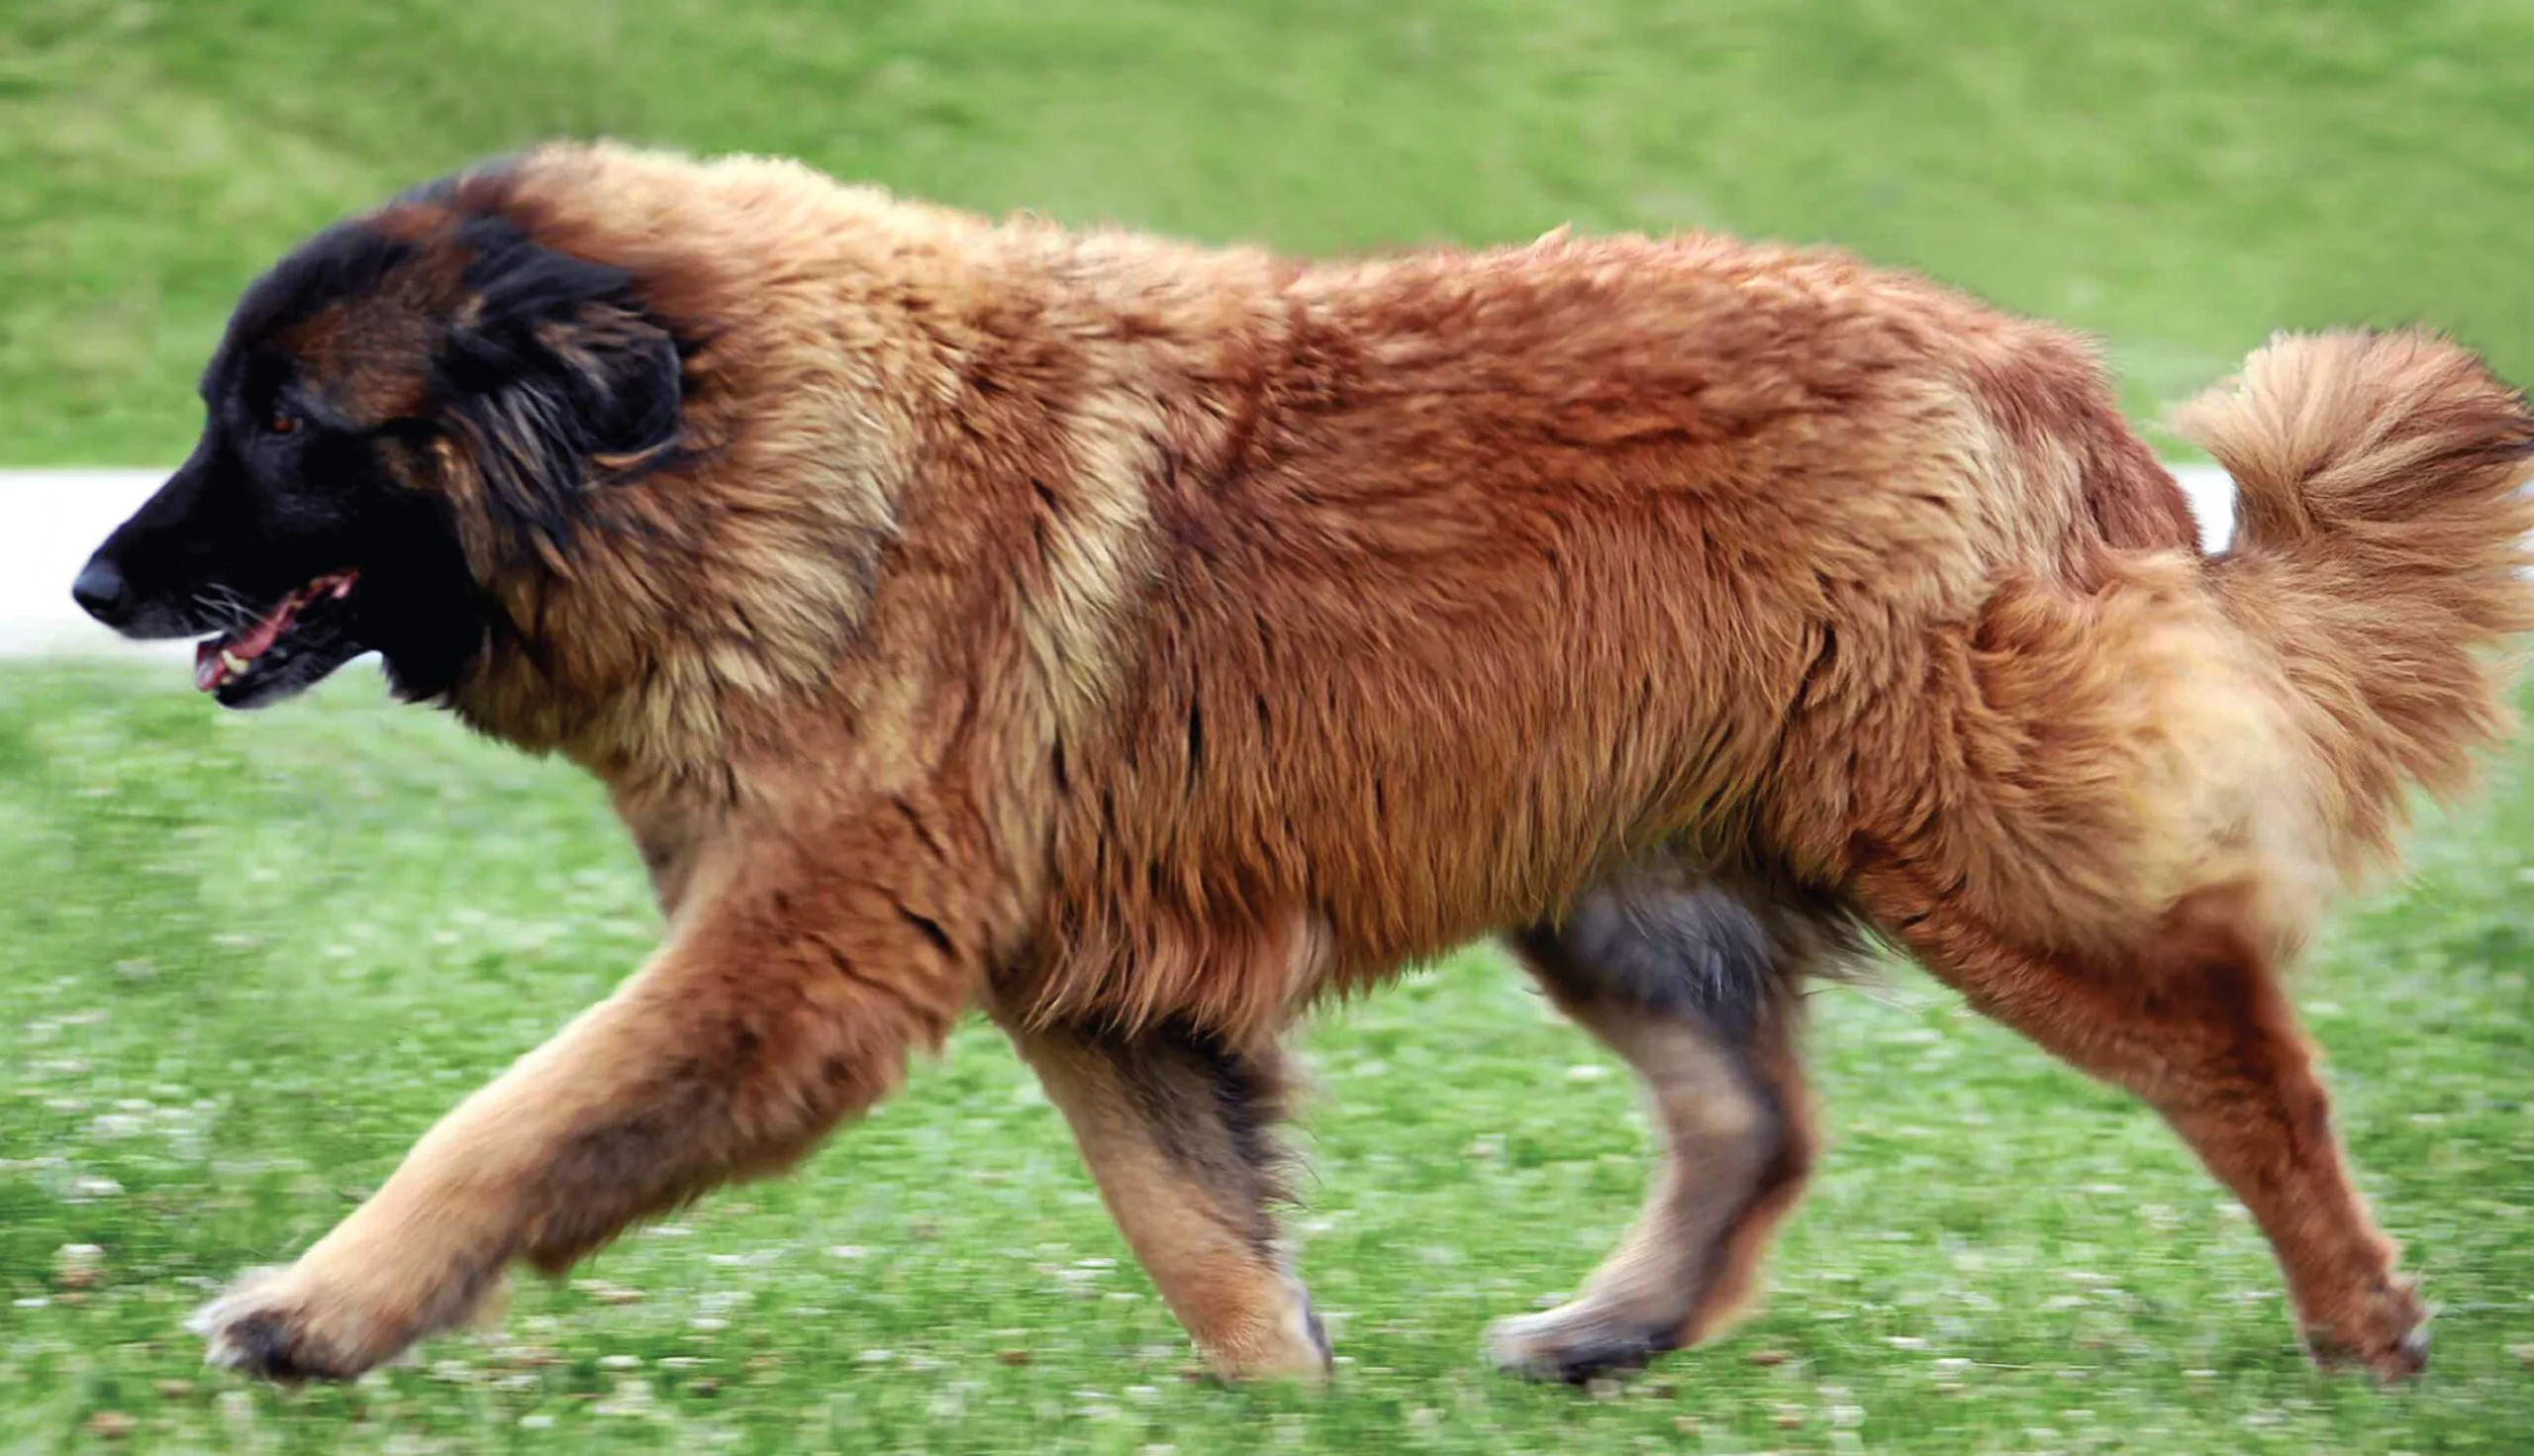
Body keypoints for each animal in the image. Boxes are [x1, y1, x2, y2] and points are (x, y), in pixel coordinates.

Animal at [69, 142, 2523, 1387]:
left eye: (284, 421)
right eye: (216, 403)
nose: (90, 577)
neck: (751, 450)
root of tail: (2047, 385)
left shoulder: (796, 953)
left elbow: (510, 1122)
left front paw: (314, 1309)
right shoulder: (1083, 976)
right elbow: (1194, 1232)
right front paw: (1290, 1396)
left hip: (1973, 852)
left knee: (2241, 1061)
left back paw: (2358, 1321)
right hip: (1618, 879)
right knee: (1755, 1124)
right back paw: (1616, 1328)